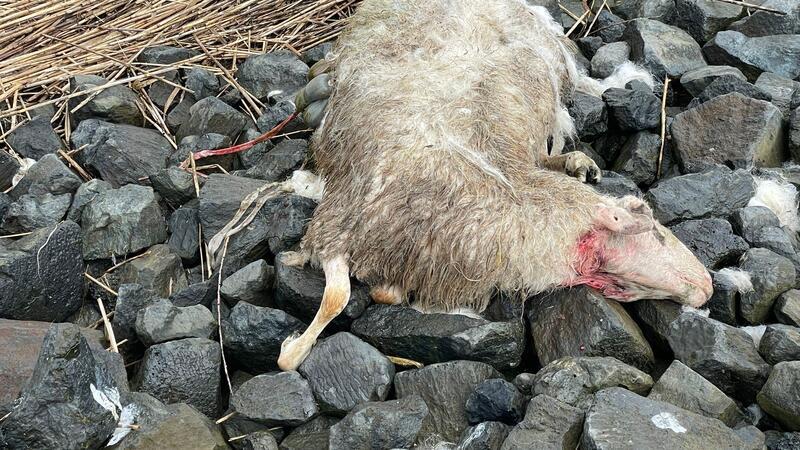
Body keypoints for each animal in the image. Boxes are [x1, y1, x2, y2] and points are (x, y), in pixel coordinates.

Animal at [276, 0, 713, 371]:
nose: (708, 287)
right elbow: (330, 308)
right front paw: (294, 338)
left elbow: (356, 298)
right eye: (656, 233)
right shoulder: (339, 223)